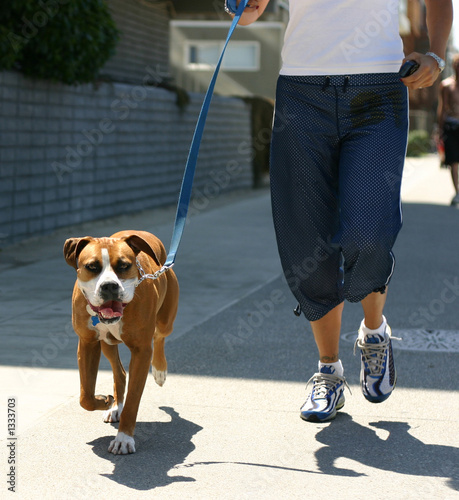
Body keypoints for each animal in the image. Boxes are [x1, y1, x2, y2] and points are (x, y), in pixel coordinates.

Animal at [63, 229, 179, 454]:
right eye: (92, 267)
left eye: (124, 266)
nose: (109, 286)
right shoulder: (87, 343)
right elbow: (85, 396)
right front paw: (104, 401)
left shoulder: (142, 351)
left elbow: (133, 400)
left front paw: (124, 438)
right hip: (107, 344)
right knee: (120, 372)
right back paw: (115, 406)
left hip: (165, 320)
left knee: (160, 336)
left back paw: (160, 370)